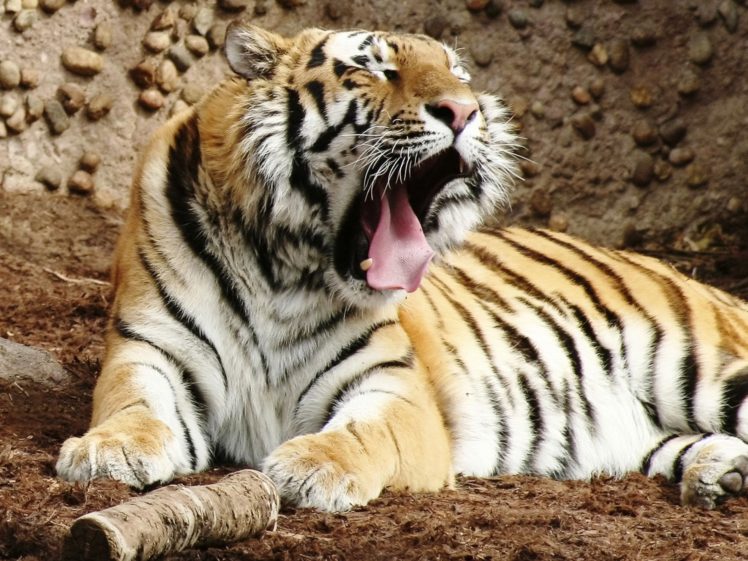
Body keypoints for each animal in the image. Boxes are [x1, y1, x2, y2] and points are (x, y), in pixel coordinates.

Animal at [56, 22, 748, 512]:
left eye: (457, 72)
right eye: (374, 68)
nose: (467, 111)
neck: (283, 266)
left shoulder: (392, 385)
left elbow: (364, 434)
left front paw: (314, 466)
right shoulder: (151, 350)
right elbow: (135, 405)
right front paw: (109, 452)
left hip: (711, 369)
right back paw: (723, 473)